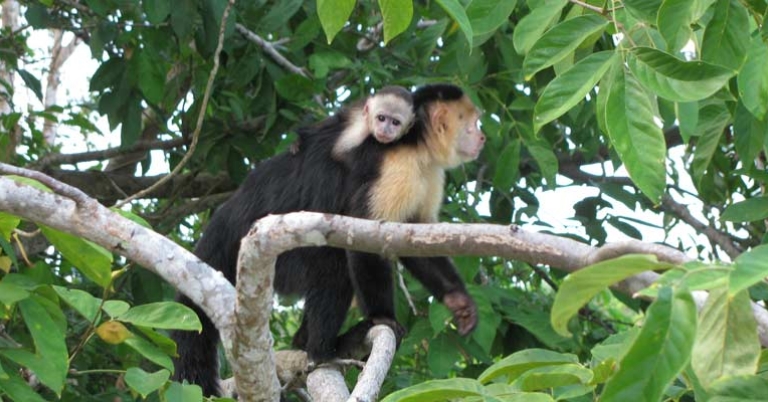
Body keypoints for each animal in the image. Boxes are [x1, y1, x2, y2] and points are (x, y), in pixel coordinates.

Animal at [171, 84, 485, 397]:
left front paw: (459, 302)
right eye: (472, 124)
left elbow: (411, 239)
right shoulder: (396, 167)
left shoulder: (427, 174)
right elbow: (366, 241)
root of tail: (230, 212)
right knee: (333, 262)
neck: (417, 144)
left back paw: (306, 342)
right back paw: (322, 351)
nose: (481, 137)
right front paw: (382, 318)